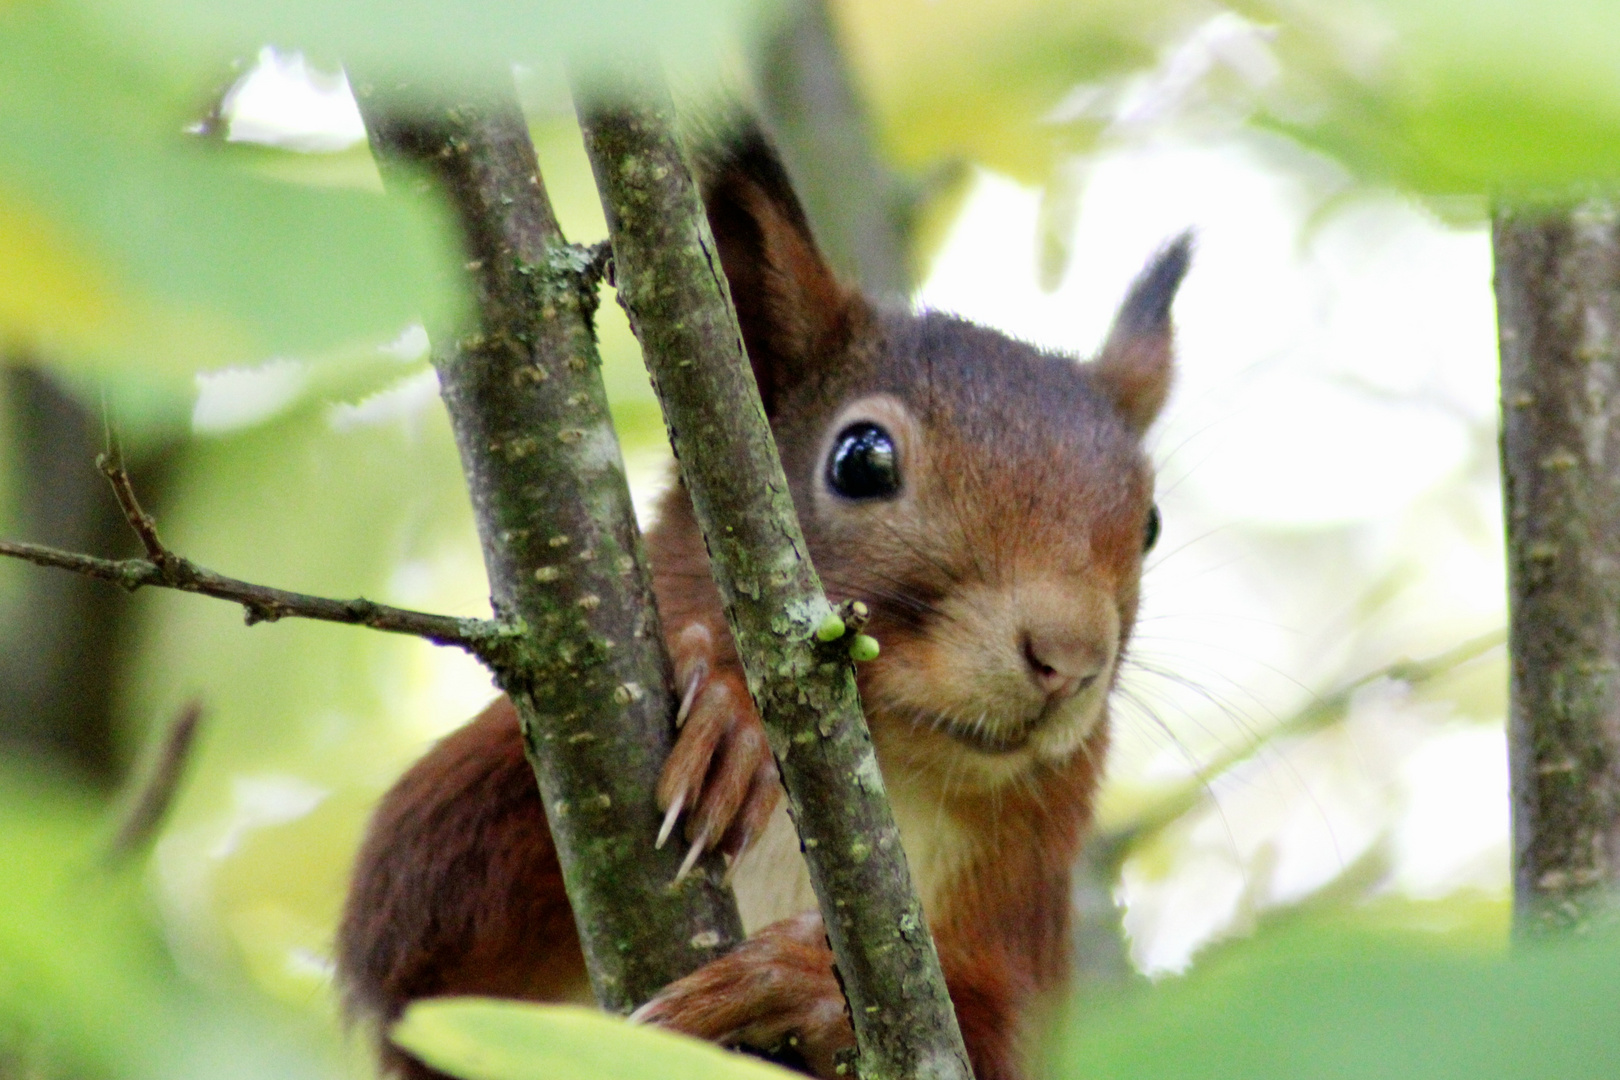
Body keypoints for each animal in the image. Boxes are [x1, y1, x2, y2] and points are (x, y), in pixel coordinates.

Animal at [335, 122, 1192, 1080]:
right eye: (862, 459)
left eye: (1151, 523)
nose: (1068, 658)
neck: (893, 769)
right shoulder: (440, 960)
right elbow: (416, 919)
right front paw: (732, 715)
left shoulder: (1022, 929)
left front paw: (810, 986)